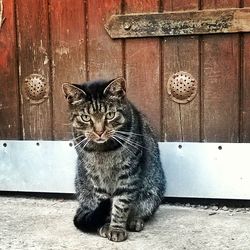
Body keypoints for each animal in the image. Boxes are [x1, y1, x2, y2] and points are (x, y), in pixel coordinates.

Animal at [62, 77, 166, 242]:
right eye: (86, 118)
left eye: (110, 115)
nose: (99, 132)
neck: (103, 151)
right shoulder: (96, 176)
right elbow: (103, 202)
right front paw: (106, 225)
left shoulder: (128, 173)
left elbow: (121, 204)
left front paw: (116, 228)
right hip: (83, 190)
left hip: (153, 191)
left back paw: (135, 221)